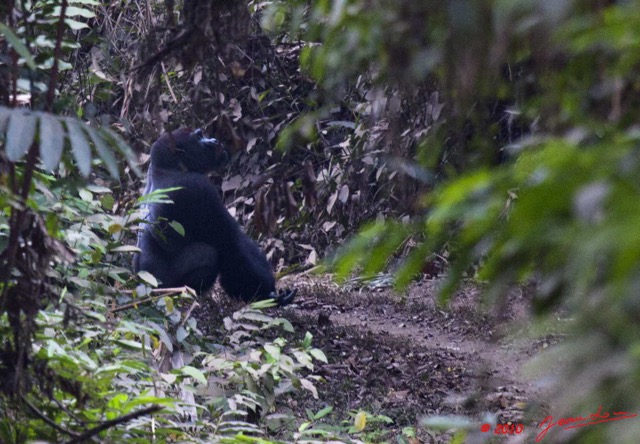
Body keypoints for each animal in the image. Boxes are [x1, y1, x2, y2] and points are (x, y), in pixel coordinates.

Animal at [135, 126, 296, 304]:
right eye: (199, 137)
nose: (214, 140)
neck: (166, 169)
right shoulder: (198, 188)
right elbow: (230, 244)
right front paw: (264, 292)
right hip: (164, 289)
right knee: (207, 254)